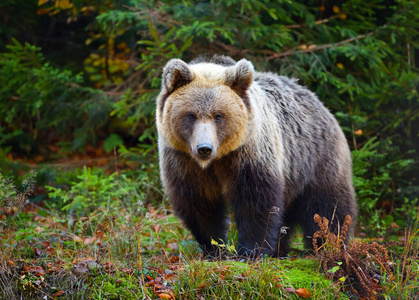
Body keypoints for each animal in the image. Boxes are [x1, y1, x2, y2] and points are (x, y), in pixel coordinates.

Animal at [157, 54, 358, 258]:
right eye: (191, 115)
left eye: (218, 116)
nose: (204, 148)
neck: (216, 160)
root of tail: (318, 101)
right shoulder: (184, 162)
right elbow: (200, 205)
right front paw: (214, 249)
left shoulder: (249, 154)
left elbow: (256, 202)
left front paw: (250, 251)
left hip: (315, 158)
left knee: (328, 205)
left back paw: (329, 244)